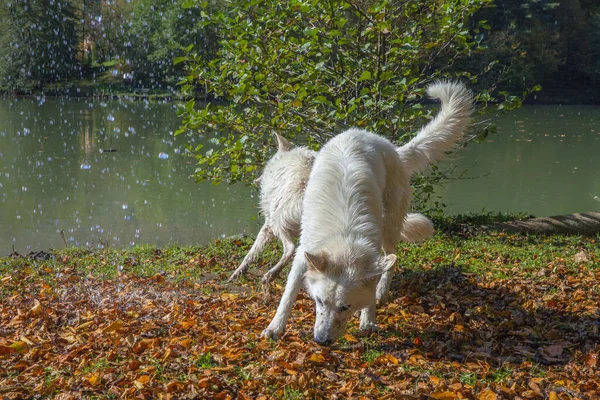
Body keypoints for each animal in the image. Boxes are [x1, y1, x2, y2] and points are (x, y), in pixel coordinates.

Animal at [227, 134, 434, 284]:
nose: (257, 180)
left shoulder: (269, 224)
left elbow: (251, 253)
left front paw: (236, 274)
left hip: (281, 223)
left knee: (290, 249)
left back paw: (270, 275)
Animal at [262, 81, 474, 344]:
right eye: (319, 301)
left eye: (344, 307)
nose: (321, 341)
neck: (343, 234)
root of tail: (390, 147)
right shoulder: (303, 254)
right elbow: (288, 295)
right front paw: (274, 327)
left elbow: (371, 291)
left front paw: (368, 320)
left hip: (389, 228)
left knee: (391, 261)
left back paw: (383, 292)